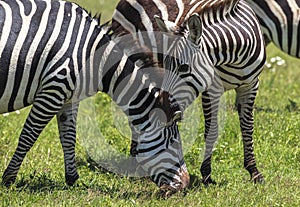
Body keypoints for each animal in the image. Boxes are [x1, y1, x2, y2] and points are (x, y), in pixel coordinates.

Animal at [0, 0, 218, 192]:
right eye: (173, 142)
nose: (185, 184)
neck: (95, 58)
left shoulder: (69, 96)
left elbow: (68, 136)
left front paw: (72, 180)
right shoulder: (54, 87)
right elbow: (28, 135)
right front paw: (9, 179)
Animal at [113, 0, 268, 184]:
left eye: (184, 68)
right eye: (167, 64)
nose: (165, 111)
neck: (234, 58)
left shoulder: (251, 85)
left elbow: (247, 127)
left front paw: (254, 172)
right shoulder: (212, 88)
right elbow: (212, 130)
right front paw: (207, 175)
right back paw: (135, 162)